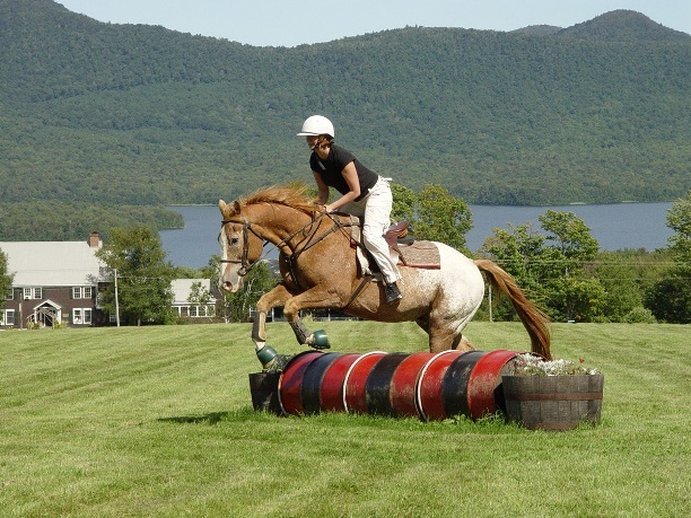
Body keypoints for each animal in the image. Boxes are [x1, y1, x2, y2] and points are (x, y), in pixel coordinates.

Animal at [216, 185, 552, 368]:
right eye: (219, 238)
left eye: (233, 239)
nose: (226, 284)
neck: (305, 238)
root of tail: (472, 263)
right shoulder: (295, 286)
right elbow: (264, 303)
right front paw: (262, 348)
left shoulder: (331, 293)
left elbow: (289, 308)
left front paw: (313, 338)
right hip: (434, 320)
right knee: (465, 350)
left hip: (443, 325)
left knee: (443, 353)